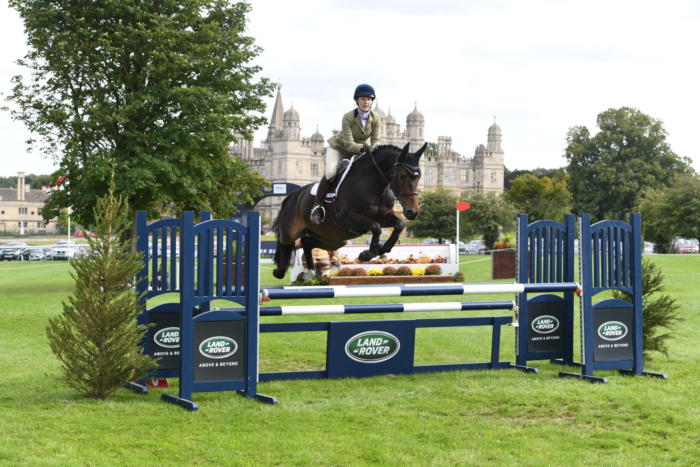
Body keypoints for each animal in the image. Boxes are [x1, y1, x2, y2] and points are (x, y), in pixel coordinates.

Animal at [272, 143, 426, 280]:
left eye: (418, 176)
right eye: (402, 176)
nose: (413, 212)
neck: (374, 185)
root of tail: (293, 195)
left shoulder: (383, 217)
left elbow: (399, 224)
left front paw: (381, 249)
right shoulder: (347, 218)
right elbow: (375, 227)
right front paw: (367, 254)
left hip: (333, 239)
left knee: (307, 242)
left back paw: (310, 271)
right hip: (291, 231)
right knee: (285, 242)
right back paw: (280, 271)